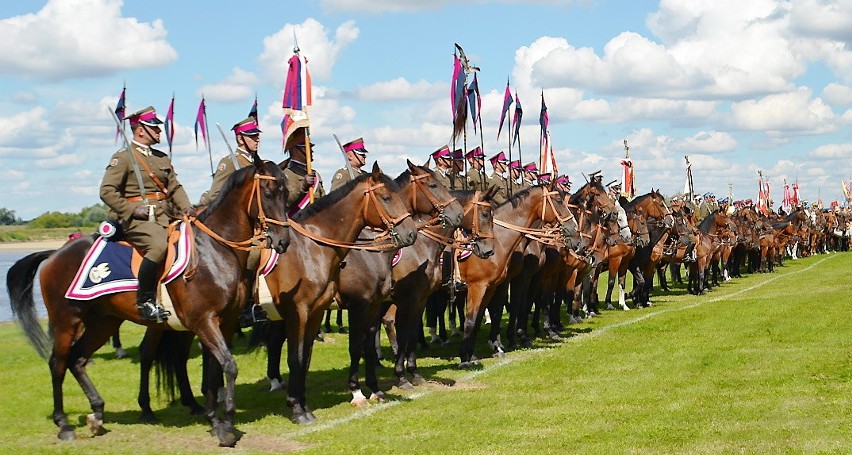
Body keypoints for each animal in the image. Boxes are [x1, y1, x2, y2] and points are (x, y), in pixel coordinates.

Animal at [5, 159, 292, 448]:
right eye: (268, 193)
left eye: (286, 193)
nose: (283, 241)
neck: (215, 251)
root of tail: (55, 254)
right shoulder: (204, 322)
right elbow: (229, 366)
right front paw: (226, 424)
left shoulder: (225, 322)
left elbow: (215, 370)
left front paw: (214, 420)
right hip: (66, 322)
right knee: (58, 363)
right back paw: (63, 423)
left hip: (103, 323)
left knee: (78, 359)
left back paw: (97, 412)